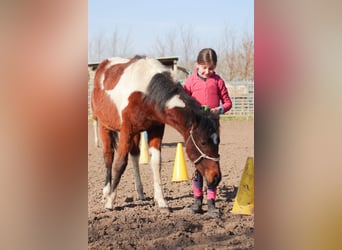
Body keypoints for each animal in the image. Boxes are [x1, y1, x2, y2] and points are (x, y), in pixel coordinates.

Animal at [90, 55, 222, 210]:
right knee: (108, 157)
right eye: (203, 142)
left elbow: (156, 163)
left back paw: (140, 192)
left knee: (135, 156)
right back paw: (106, 191)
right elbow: (120, 163)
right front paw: (110, 201)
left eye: (218, 141)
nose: (216, 177)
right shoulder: (126, 131)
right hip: (104, 126)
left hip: (135, 133)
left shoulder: (156, 129)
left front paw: (161, 201)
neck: (146, 94)